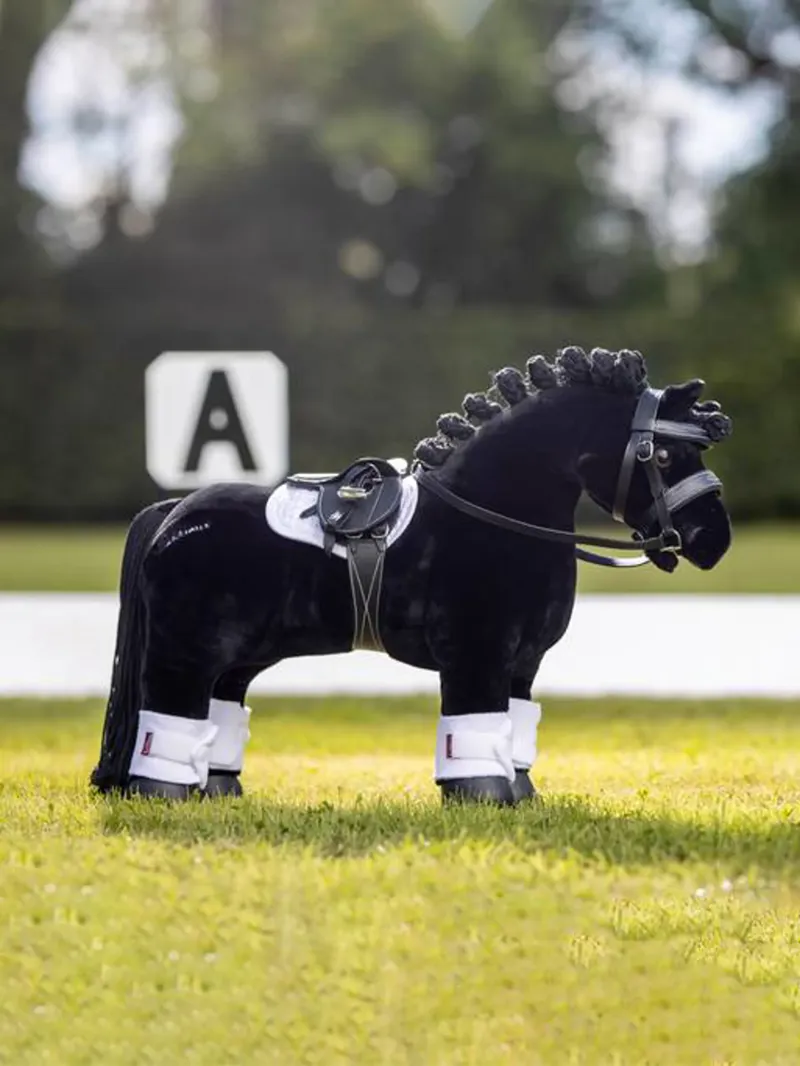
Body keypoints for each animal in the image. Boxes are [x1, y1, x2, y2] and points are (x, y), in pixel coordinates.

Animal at [91, 346, 732, 806]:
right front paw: (483, 799)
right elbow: (473, 731)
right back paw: (168, 796)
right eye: (664, 455)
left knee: (219, 714)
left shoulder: (522, 664)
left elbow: (514, 731)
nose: (714, 539)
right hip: (185, 652)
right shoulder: (476, 655)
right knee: (168, 717)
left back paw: (219, 792)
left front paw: (522, 797)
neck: (493, 510)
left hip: (238, 659)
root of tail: (174, 512)